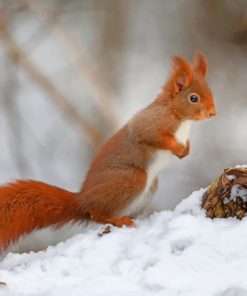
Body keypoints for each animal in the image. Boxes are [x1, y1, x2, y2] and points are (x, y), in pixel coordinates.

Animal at [0, 52, 216, 253]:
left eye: (210, 91)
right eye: (193, 98)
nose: (213, 113)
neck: (181, 119)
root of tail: (81, 200)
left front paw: (185, 150)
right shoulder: (150, 123)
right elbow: (152, 136)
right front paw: (177, 148)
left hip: (148, 187)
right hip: (132, 178)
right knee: (95, 213)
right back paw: (118, 220)